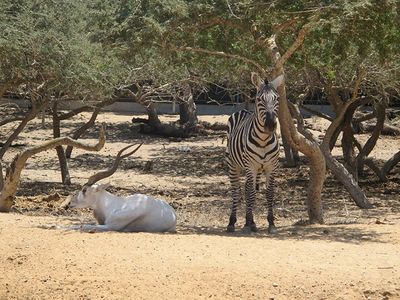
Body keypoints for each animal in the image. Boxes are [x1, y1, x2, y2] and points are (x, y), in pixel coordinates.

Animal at [225, 72, 284, 234]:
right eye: (259, 99)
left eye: (277, 98)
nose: (270, 125)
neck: (263, 139)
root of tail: (244, 110)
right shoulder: (250, 165)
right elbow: (251, 193)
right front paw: (247, 224)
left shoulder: (271, 166)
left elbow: (269, 192)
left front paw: (271, 223)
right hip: (234, 165)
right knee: (236, 190)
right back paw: (232, 222)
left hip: (256, 169)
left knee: (246, 188)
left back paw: (249, 221)